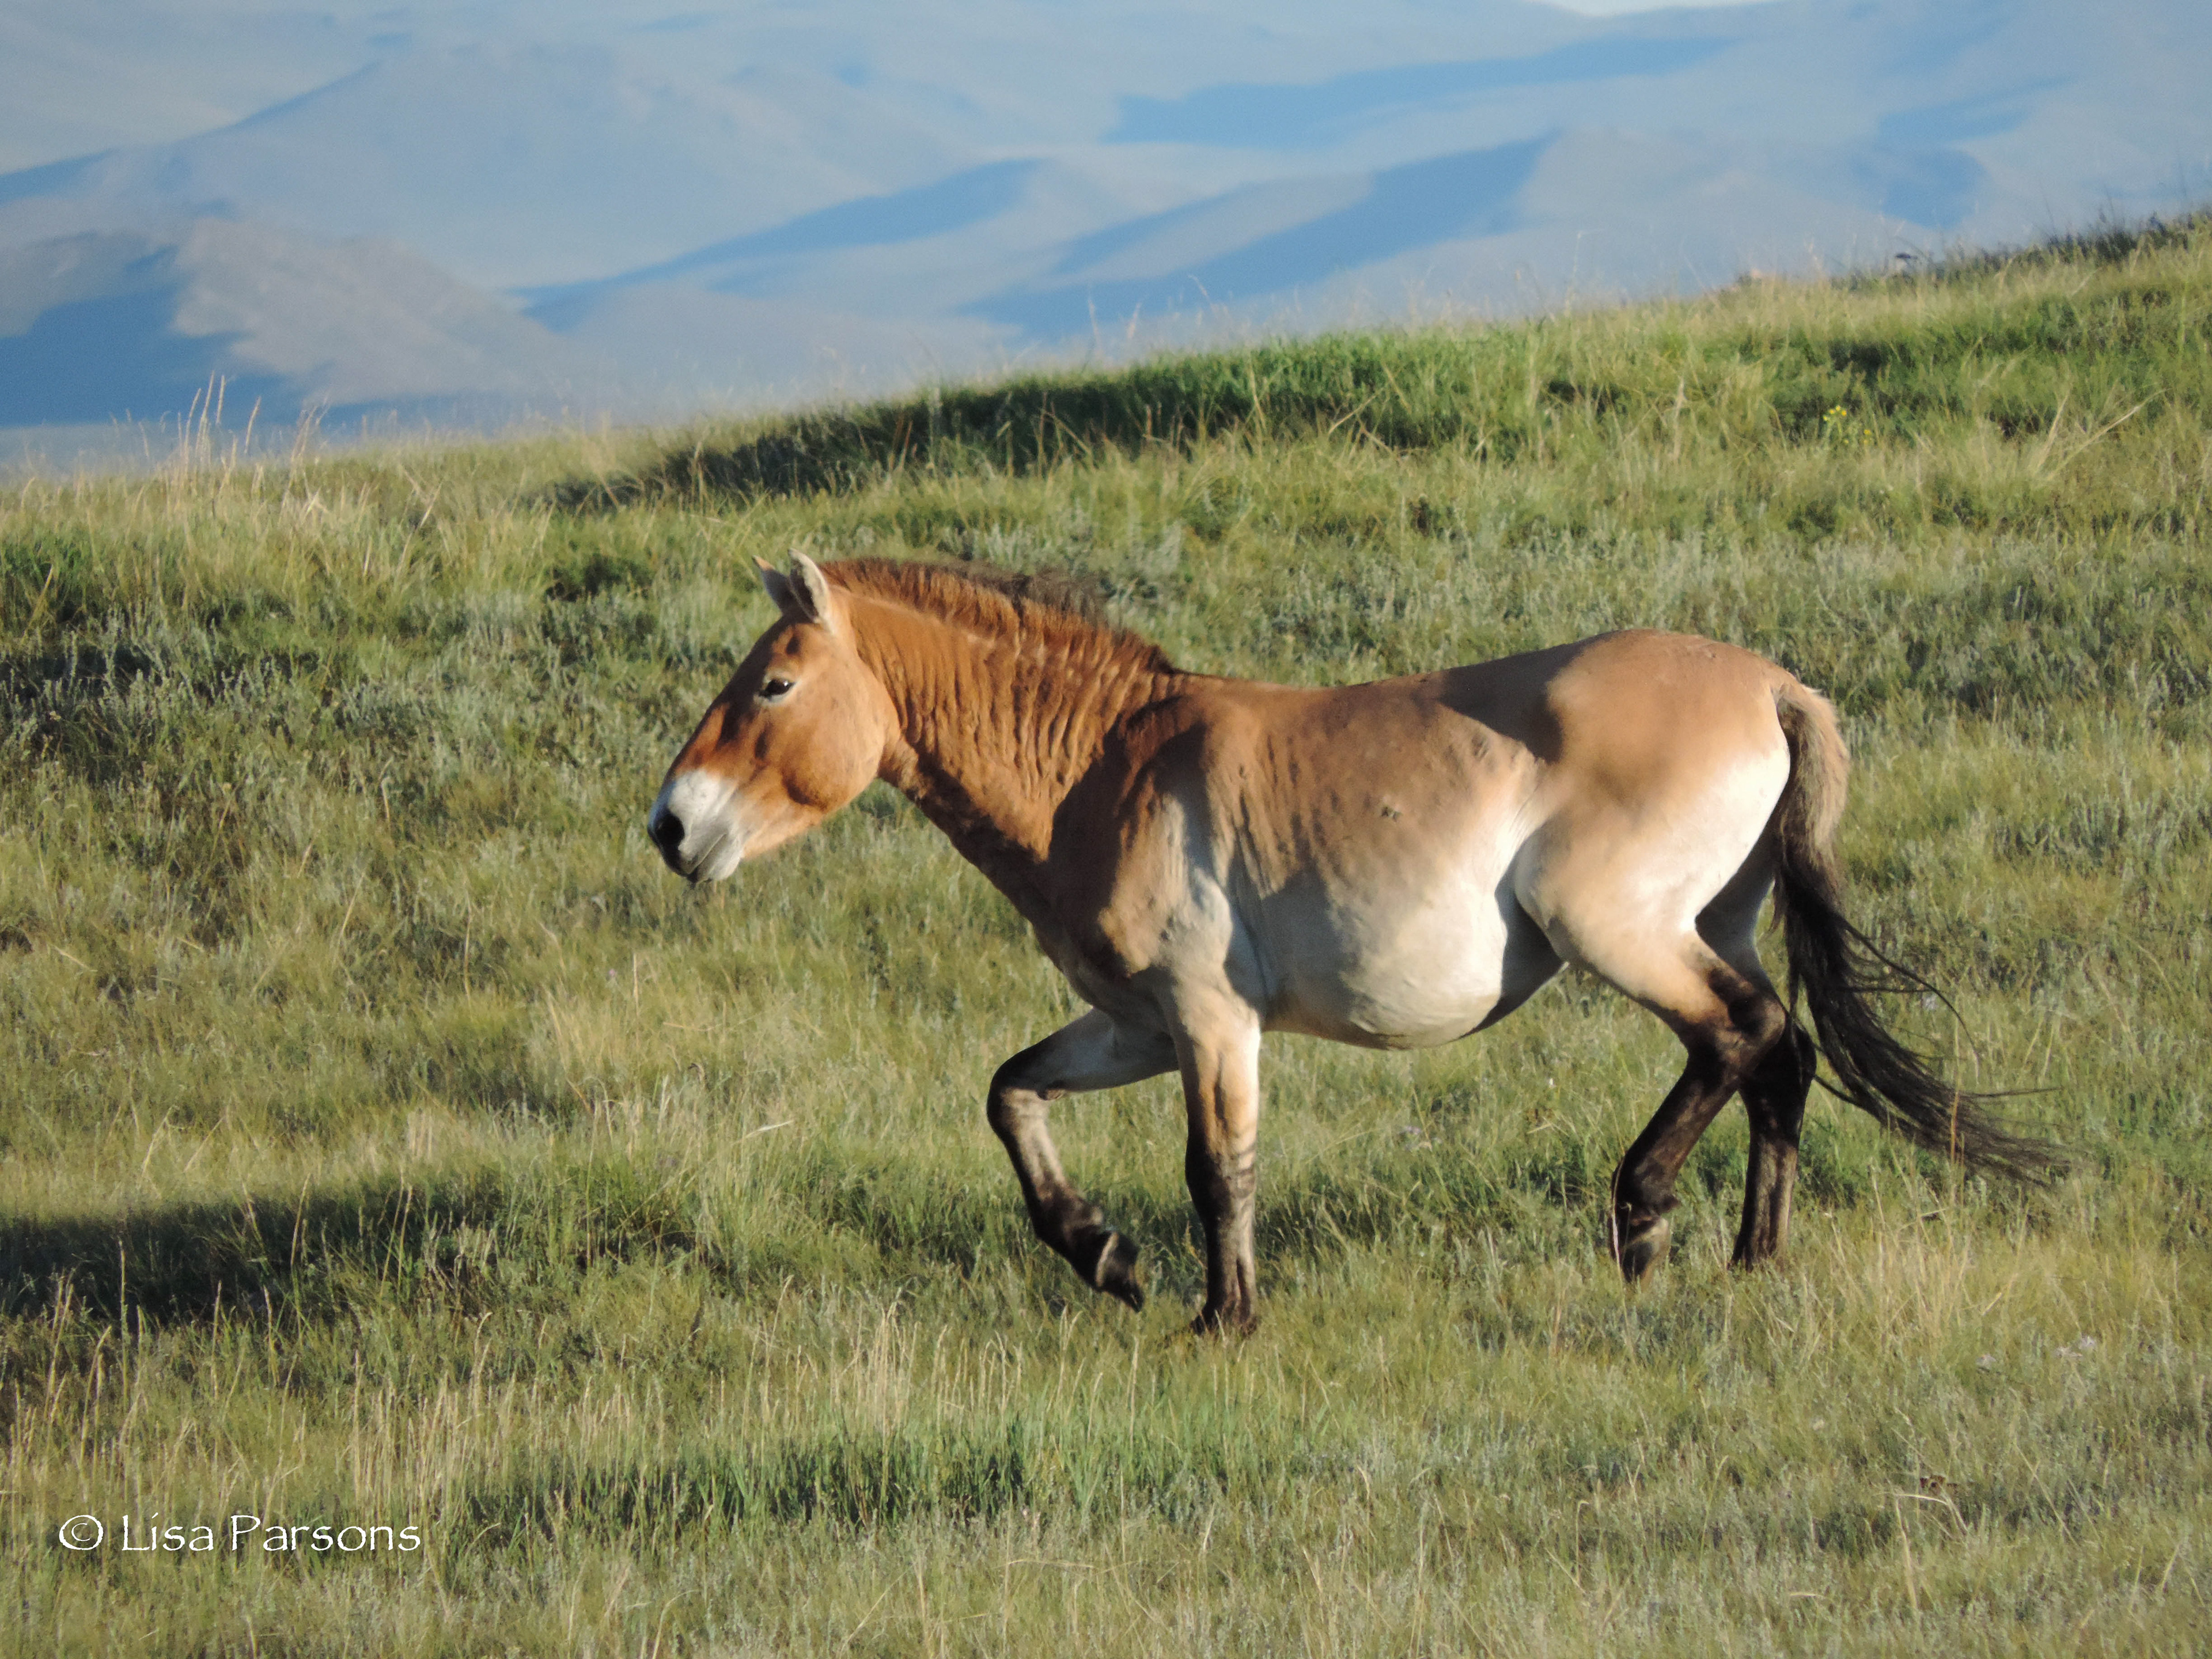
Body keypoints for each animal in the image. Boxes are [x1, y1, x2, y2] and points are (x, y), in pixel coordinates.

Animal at [646, 559, 2044, 1336]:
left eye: (773, 685)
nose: (671, 826)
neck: (1105, 769)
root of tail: (1771, 685)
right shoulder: (1137, 1025)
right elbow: (1010, 1094)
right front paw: (1103, 1256)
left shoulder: (1210, 1021)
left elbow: (1219, 1171)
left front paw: (1224, 1317)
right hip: (1716, 922)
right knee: (1781, 1057)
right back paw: (1755, 1259)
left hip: (1621, 931)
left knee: (1744, 1038)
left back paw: (1642, 1221)